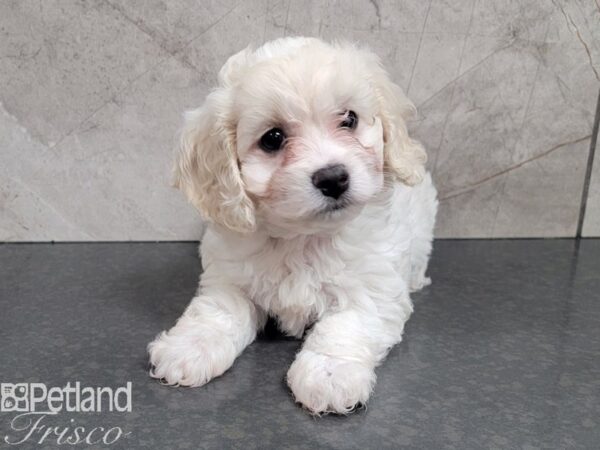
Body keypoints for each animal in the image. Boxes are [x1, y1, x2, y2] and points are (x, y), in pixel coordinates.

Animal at [148, 37, 438, 414]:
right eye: (272, 138)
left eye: (349, 119)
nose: (333, 178)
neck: (302, 236)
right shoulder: (229, 279)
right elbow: (218, 312)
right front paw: (189, 347)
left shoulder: (372, 285)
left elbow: (346, 326)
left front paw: (330, 374)